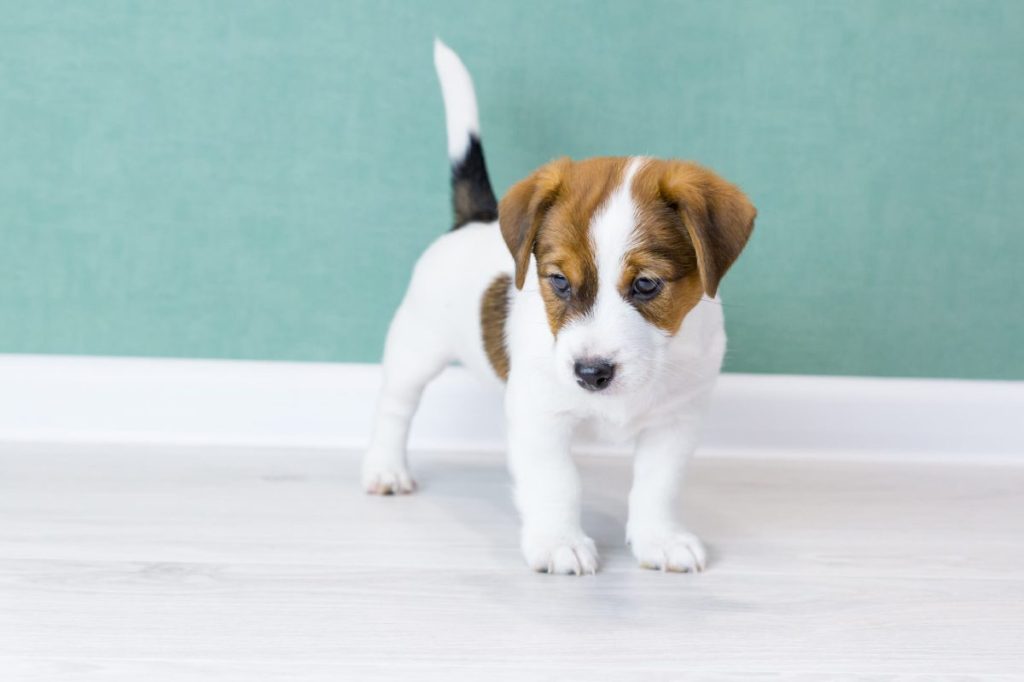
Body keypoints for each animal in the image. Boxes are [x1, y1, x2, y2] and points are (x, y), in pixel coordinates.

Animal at [360, 39, 753, 573]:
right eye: (559, 281)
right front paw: (558, 541)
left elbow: (658, 487)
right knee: (395, 406)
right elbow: (557, 483)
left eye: (646, 284)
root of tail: (475, 218)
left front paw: (660, 538)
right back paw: (386, 467)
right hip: (415, 349)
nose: (590, 373)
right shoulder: (541, 418)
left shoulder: (675, 423)